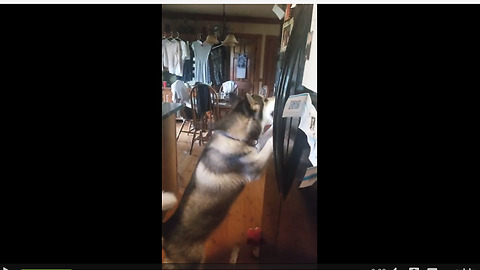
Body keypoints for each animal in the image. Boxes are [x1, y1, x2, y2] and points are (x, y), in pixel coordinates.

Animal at [162, 92, 274, 264]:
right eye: (266, 99)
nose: (277, 96)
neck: (233, 136)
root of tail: (166, 230)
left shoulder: (255, 148)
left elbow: (266, 136)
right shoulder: (255, 167)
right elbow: (269, 143)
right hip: (193, 261)